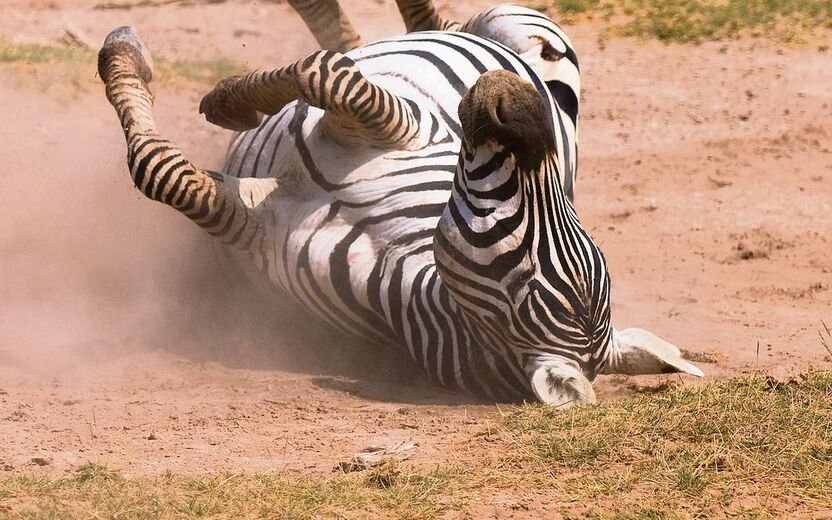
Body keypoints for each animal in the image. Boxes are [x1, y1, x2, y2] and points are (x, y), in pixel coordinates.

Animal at [97, 0, 704, 406]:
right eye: (570, 228)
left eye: (528, 259)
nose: (515, 94)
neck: (387, 247)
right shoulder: (415, 129)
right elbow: (328, 73)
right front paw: (235, 99)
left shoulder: (258, 224)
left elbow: (321, 75)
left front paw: (171, 77)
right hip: (519, 26)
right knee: (427, 26)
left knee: (383, 38)